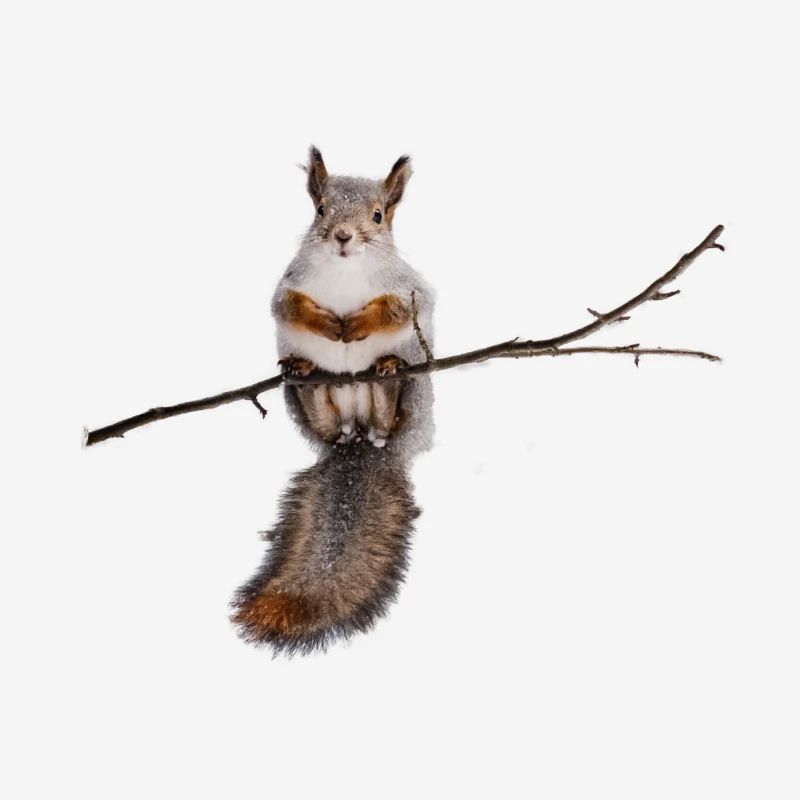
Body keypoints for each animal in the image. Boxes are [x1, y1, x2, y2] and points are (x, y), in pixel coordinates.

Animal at [230, 147, 435, 654]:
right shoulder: (287, 286)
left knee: (389, 413)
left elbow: (401, 308)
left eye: (378, 216)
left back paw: (386, 374)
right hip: (302, 404)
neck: (345, 272)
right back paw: (308, 376)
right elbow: (288, 307)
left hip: (415, 395)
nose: (343, 236)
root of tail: (359, 438)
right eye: (320, 210)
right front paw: (326, 324)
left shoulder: (412, 290)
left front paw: (357, 324)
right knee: (321, 412)